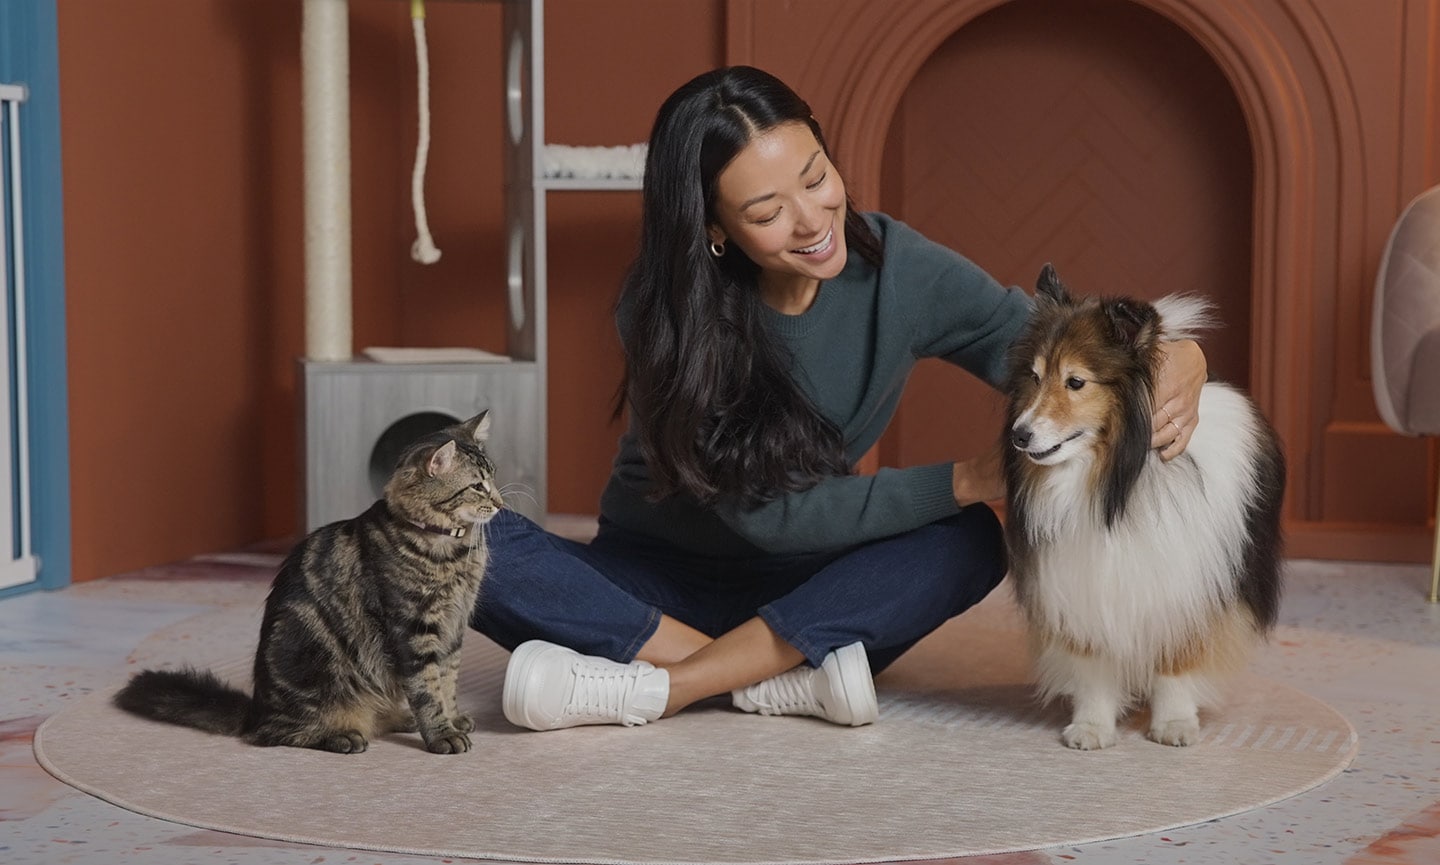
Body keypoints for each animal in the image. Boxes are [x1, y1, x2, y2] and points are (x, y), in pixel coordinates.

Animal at [113, 408, 506, 754]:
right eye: (477, 486)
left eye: (493, 477)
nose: (501, 503)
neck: (450, 551)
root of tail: (256, 708)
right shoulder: (414, 629)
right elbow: (427, 689)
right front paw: (442, 734)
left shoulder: (453, 629)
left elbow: (447, 681)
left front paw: (454, 719)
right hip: (314, 668)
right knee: (275, 735)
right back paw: (343, 736)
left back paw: (397, 717)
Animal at [1002, 264, 1284, 748]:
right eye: (1035, 377)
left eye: (1076, 381)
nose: (1020, 435)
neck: (1115, 482)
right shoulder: (1080, 583)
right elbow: (1093, 667)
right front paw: (1091, 727)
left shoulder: (1185, 584)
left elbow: (1176, 660)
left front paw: (1174, 723)